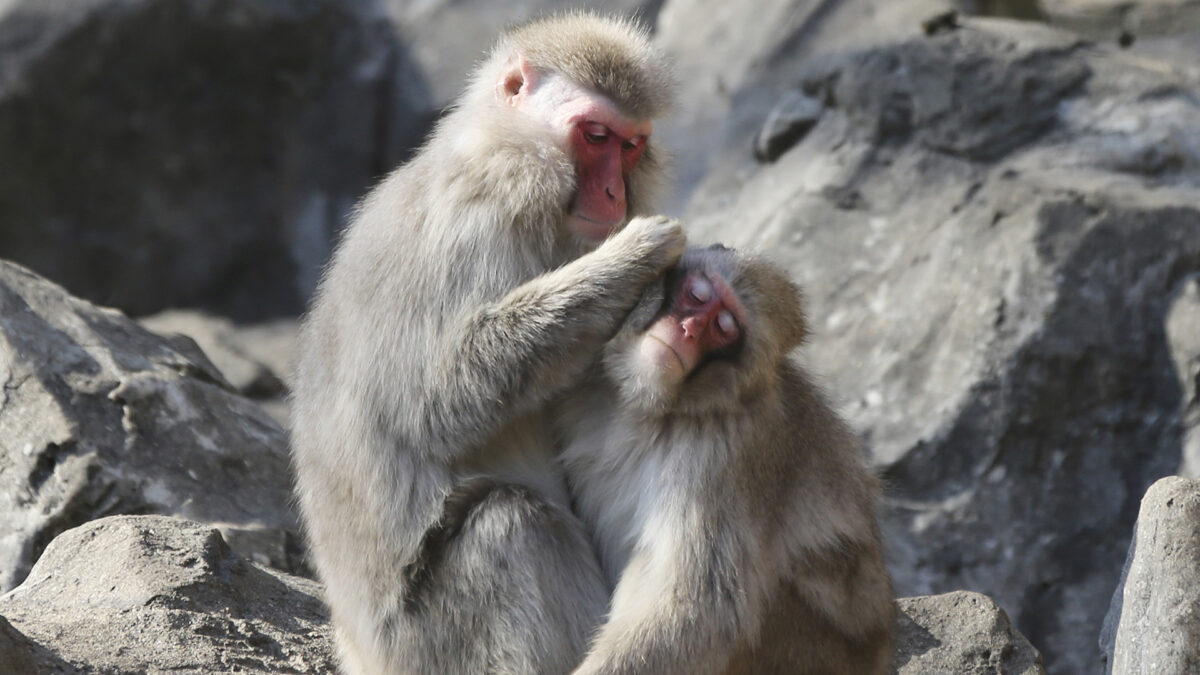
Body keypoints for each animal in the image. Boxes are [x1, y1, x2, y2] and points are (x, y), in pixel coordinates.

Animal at [289, 14, 681, 672]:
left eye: (630, 146)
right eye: (596, 135)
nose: (614, 196)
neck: (499, 151)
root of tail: (361, 653)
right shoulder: (475, 221)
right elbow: (434, 404)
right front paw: (631, 259)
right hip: (437, 642)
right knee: (512, 526)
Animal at [552, 242, 892, 672]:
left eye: (724, 327)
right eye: (698, 296)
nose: (688, 329)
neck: (658, 409)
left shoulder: (723, 456)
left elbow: (704, 608)